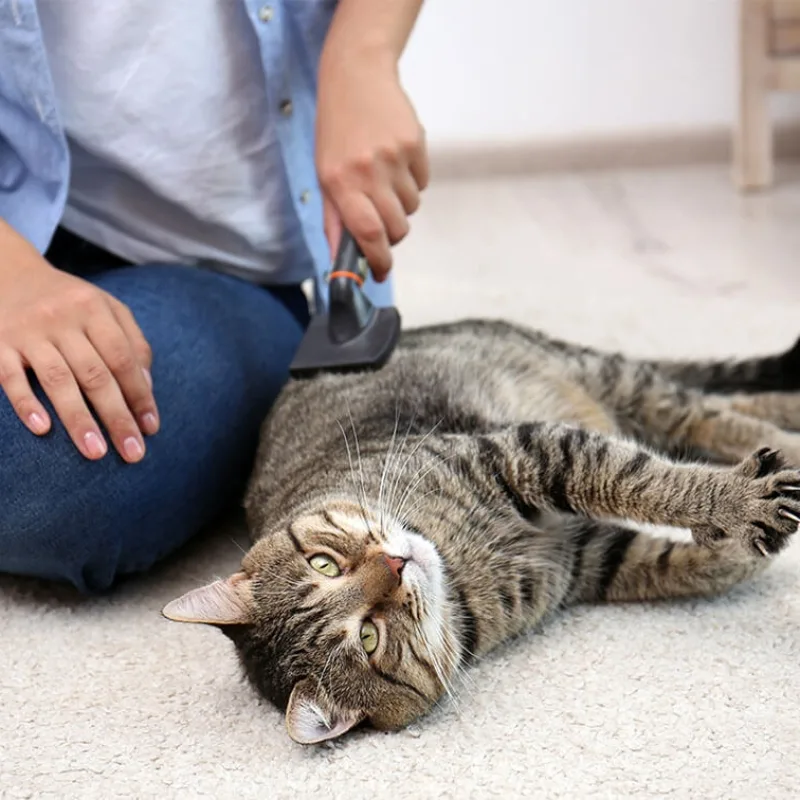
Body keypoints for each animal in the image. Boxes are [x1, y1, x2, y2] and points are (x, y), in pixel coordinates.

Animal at [161, 318, 800, 744]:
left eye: (324, 564)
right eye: (369, 639)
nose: (395, 565)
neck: (458, 567)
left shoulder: (528, 451)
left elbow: (643, 481)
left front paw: (734, 504)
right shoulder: (585, 556)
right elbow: (680, 566)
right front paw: (733, 544)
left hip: (611, 378)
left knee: (711, 412)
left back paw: (784, 439)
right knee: (707, 414)